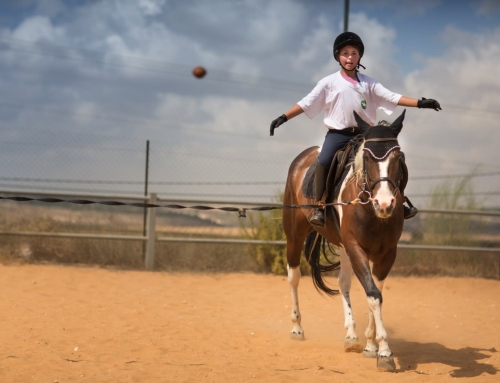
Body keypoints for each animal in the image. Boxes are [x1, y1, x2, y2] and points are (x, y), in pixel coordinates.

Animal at [282, 109, 406, 370]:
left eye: (397, 158)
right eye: (367, 157)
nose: (385, 203)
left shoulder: (387, 253)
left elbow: (375, 293)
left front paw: (370, 345)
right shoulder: (356, 247)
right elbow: (373, 295)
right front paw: (384, 352)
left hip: (344, 248)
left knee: (343, 284)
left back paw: (351, 335)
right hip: (295, 235)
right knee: (294, 277)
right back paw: (297, 328)